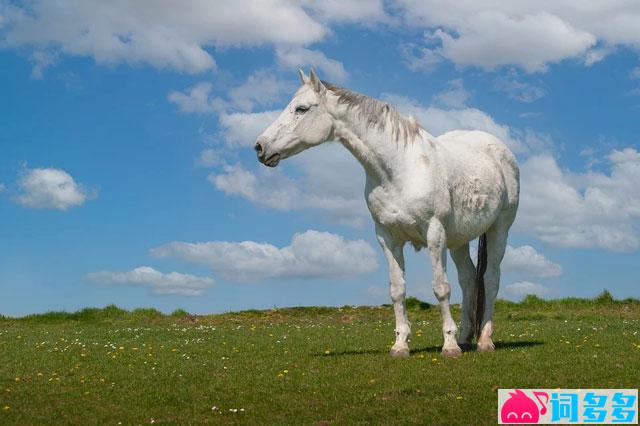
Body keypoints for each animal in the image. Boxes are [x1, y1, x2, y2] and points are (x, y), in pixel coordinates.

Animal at [255, 69, 520, 356]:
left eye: (301, 109)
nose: (260, 147)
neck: (399, 170)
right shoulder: (387, 238)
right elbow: (397, 289)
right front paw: (400, 344)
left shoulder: (435, 234)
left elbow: (440, 288)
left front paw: (448, 346)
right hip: (458, 240)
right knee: (469, 280)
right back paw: (465, 337)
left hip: (499, 229)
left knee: (490, 279)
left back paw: (484, 340)